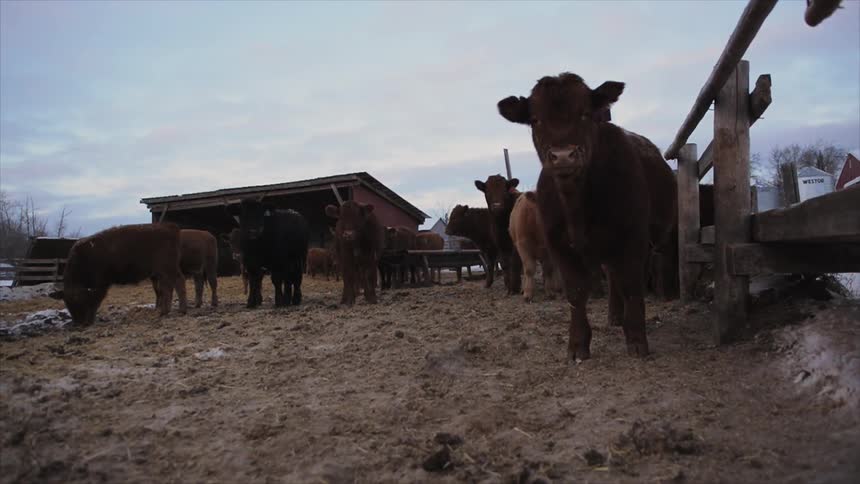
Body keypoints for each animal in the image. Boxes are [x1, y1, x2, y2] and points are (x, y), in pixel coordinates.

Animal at [497, 72, 677, 359]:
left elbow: (632, 286)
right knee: (613, 278)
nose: (563, 156)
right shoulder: (560, 246)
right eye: (535, 119)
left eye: (584, 113)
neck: (577, 208)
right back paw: (615, 316)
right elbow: (576, 292)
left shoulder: (633, 239)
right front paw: (578, 344)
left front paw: (637, 339)